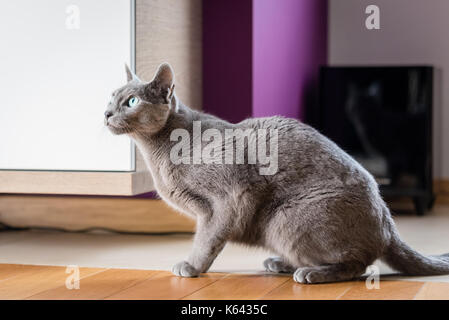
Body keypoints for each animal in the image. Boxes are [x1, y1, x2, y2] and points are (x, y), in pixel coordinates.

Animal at [104, 63, 448, 284]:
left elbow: (208, 238)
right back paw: (280, 263)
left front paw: (191, 266)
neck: (158, 153)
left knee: (360, 266)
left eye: (132, 101)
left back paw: (310, 274)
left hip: (286, 219)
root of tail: (389, 225)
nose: (106, 113)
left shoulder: (230, 197)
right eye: (111, 97)